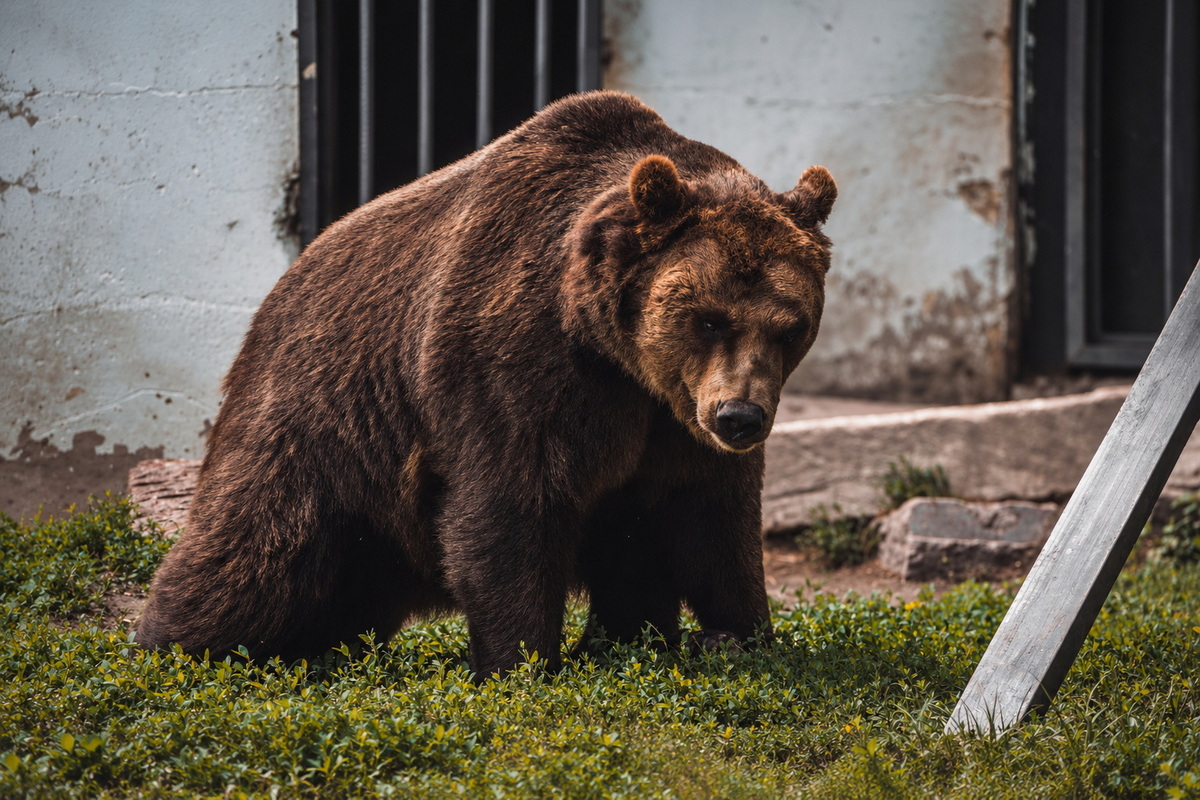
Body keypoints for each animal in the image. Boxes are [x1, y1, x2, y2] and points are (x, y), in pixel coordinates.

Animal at [135, 91, 836, 677]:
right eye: (709, 317)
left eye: (789, 326)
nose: (740, 417)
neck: (615, 354)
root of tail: (282, 286)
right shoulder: (517, 365)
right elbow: (510, 506)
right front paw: (521, 664)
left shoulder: (671, 421)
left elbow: (714, 520)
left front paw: (743, 635)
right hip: (318, 416)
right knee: (254, 553)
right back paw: (171, 648)